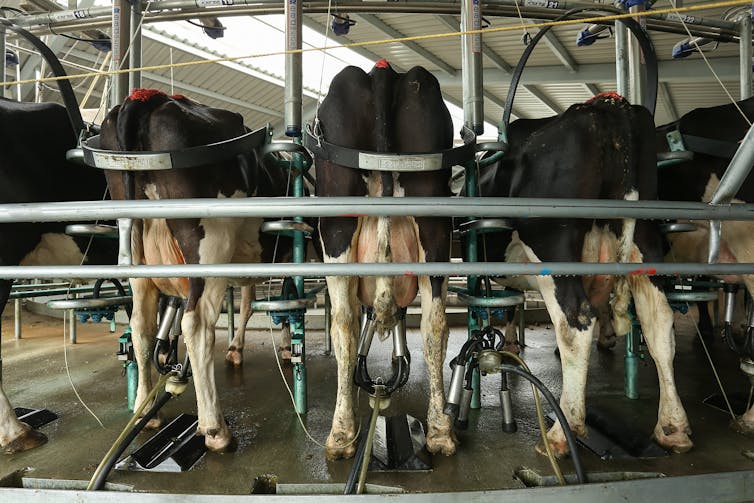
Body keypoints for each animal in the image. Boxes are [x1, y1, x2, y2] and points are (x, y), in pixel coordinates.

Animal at [100, 88, 294, 450]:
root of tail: (149, 99)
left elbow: (249, 303)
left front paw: (237, 348)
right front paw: (287, 347)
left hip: (134, 249)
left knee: (141, 326)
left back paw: (148, 409)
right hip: (210, 241)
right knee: (197, 323)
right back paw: (215, 429)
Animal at [312, 61, 458, 458]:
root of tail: (383, 71)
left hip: (336, 230)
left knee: (344, 324)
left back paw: (341, 434)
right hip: (435, 228)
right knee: (435, 325)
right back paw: (440, 431)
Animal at [472, 92, 692, 458]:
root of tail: (608, 107)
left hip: (551, 241)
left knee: (576, 321)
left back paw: (563, 432)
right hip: (645, 238)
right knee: (659, 321)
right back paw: (673, 427)